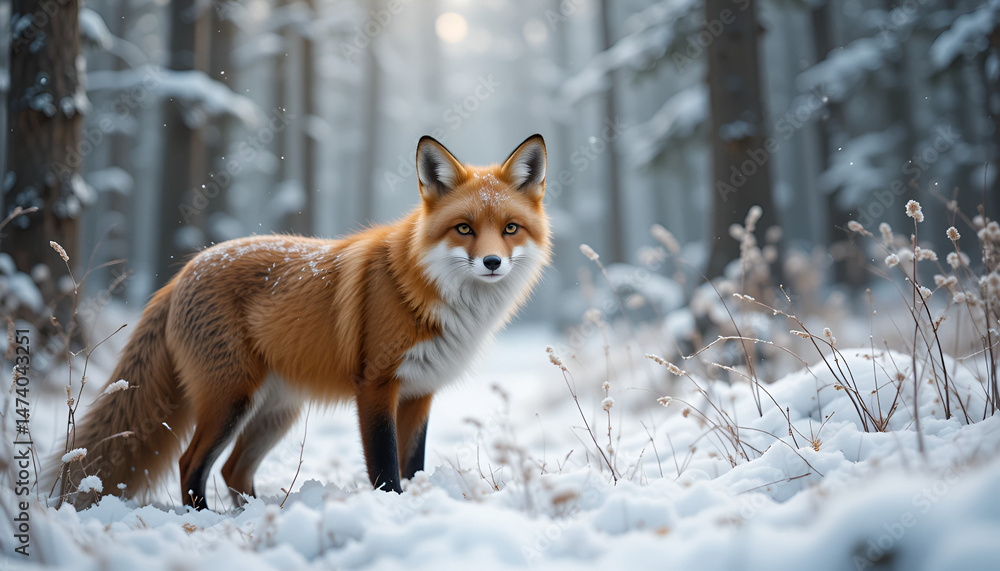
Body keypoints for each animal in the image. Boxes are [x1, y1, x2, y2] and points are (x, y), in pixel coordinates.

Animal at [55, 134, 550, 510]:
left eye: (510, 229)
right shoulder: (376, 385)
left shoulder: (419, 392)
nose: (491, 263)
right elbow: (386, 471)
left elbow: (413, 468)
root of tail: (181, 274)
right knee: (191, 463)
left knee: (233, 469)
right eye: (464, 228)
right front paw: (391, 510)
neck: (427, 293)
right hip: (231, 398)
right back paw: (204, 518)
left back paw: (252, 514)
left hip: (276, 411)